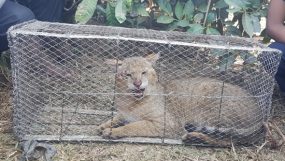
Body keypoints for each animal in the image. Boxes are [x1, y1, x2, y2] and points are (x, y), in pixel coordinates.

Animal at [96, 53, 264, 146]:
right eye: (127, 75)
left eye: (143, 72)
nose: (137, 83)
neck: (129, 102)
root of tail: (261, 118)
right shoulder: (123, 113)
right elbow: (116, 117)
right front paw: (103, 125)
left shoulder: (165, 123)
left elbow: (134, 126)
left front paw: (112, 131)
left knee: (228, 140)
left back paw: (194, 137)